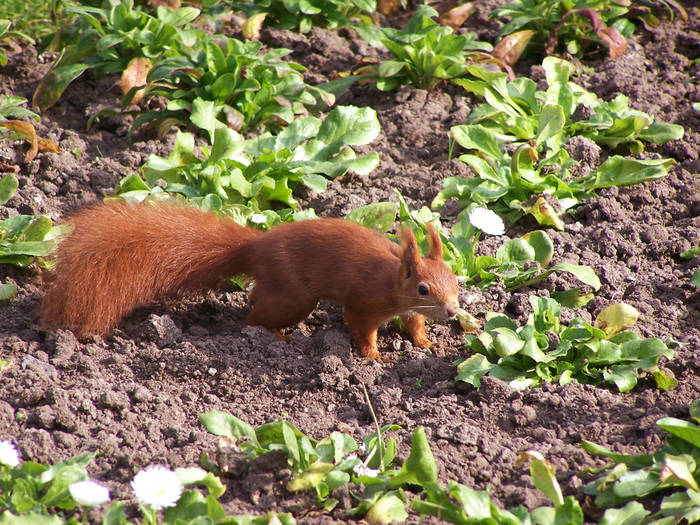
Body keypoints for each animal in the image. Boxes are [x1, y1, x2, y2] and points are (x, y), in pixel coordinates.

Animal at [42, 201, 460, 360]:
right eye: (423, 288)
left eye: (457, 282)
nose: (455, 313)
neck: (393, 279)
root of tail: (256, 246)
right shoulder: (364, 301)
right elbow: (361, 328)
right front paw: (373, 356)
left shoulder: (410, 311)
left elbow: (415, 324)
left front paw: (428, 343)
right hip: (294, 296)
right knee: (253, 315)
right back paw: (275, 336)